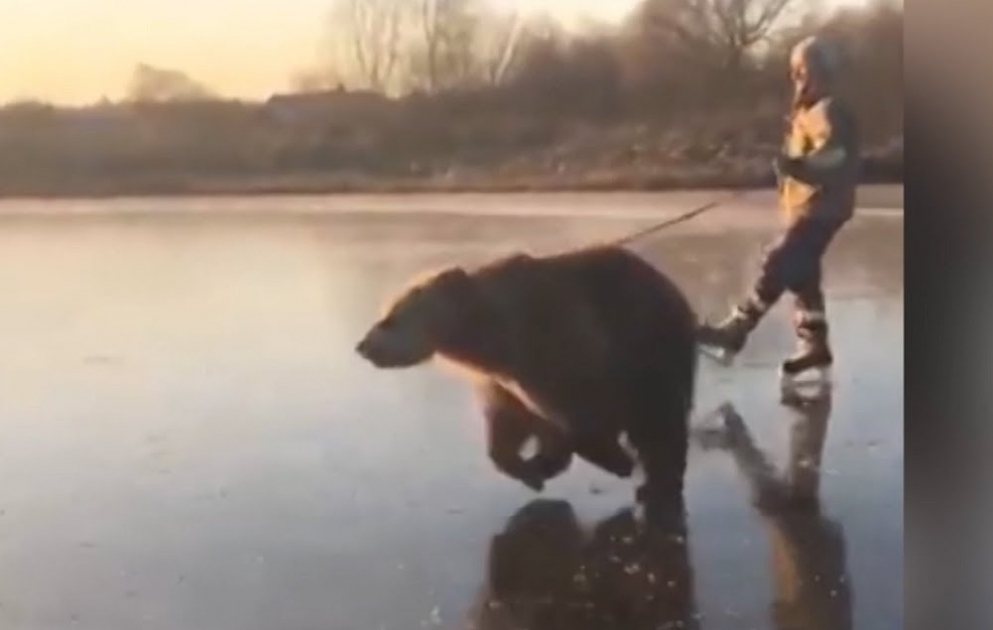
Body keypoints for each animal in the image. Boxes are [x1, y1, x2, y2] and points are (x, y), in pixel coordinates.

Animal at [355, 244, 699, 498]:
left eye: (389, 319)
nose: (362, 346)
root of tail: (672, 288)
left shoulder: (558, 346)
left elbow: (577, 412)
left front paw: (616, 460)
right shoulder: (503, 379)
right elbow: (509, 424)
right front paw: (535, 469)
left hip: (649, 344)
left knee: (659, 418)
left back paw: (657, 480)